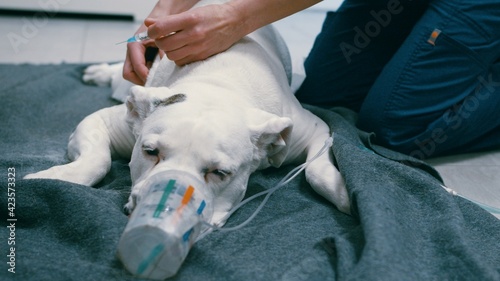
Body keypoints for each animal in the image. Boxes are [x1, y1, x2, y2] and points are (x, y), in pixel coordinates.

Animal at [24, 0, 352, 223]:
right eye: (149, 152)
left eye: (220, 173)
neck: (219, 87)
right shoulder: (109, 122)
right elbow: (96, 159)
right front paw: (49, 177)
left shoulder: (313, 129)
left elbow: (316, 170)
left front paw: (345, 195)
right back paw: (100, 71)